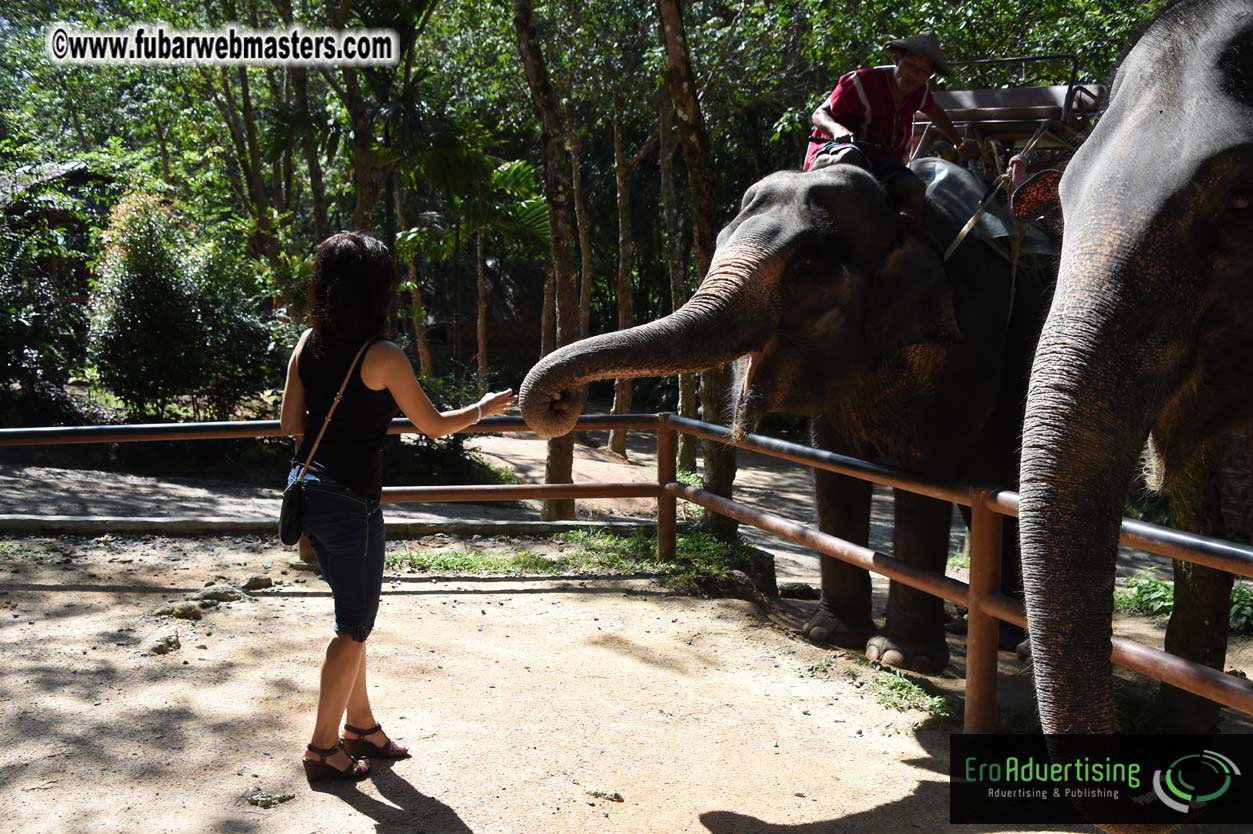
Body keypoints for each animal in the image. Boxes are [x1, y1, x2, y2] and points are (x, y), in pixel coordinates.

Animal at [520, 161, 1055, 674]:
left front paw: (898, 658)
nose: (562, 401)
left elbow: (923, 474)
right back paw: (986, 629)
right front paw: (829, 635)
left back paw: (1018, 647)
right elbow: (834, 465)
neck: (900, 215)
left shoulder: (965, 346)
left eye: (806, 269)